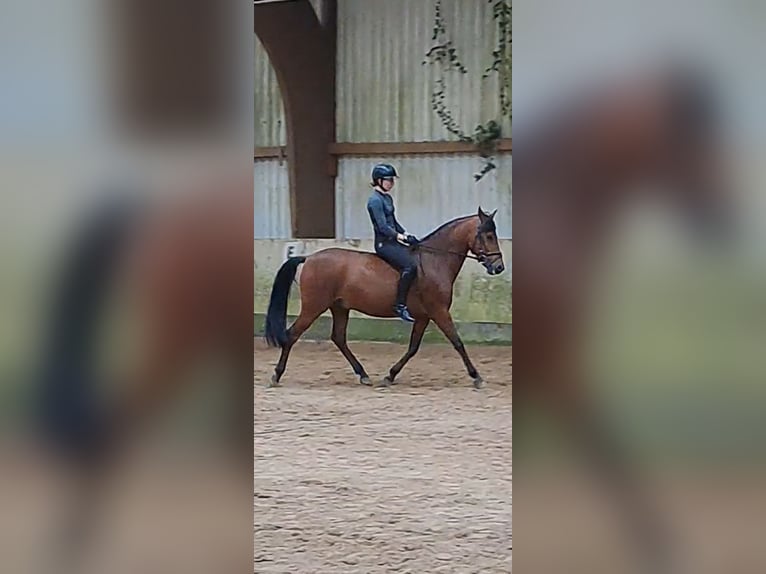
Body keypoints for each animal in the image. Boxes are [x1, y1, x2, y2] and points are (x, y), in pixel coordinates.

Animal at [266, 207, 510, 392]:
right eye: (488, 236)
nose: (498, 267)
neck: (435, 260)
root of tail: (308, 258)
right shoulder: (439, 311)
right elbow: (457, 342)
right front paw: (477, 377)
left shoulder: (423, 316)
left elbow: (413, 348)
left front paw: (390, 376)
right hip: (314, 307)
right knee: (293, 334)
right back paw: (276, 376)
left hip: (339, 307)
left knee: (338, 338)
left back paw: (363, 375)